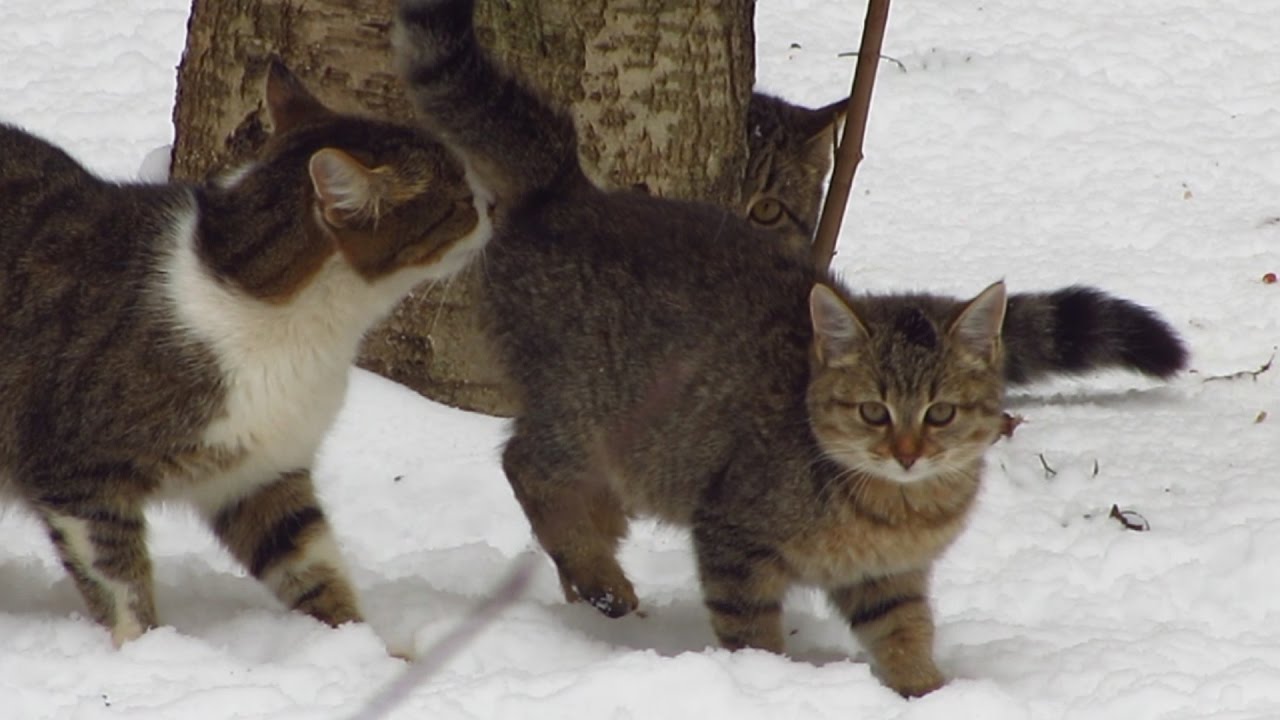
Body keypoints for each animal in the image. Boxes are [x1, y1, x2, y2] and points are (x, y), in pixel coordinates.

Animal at [0, 61, 488, 640]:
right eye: (459, 199)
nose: (493, 202)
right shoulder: (77, 472)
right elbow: (121, 583)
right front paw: (147, 648)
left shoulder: (261, 472)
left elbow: (310, 563)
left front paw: (358, 645)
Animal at [391, 0, 1187, 696]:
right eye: (872, 411)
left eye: (940, 413)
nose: (907, 452)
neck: (896, 508)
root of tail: (570, 192)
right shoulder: (732, 538)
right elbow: (750, 630)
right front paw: (766, 684)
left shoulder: (886, 581)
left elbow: (905, 634)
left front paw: (928, 692)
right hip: (586, 414)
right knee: (525, 464)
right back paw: (599, 576)